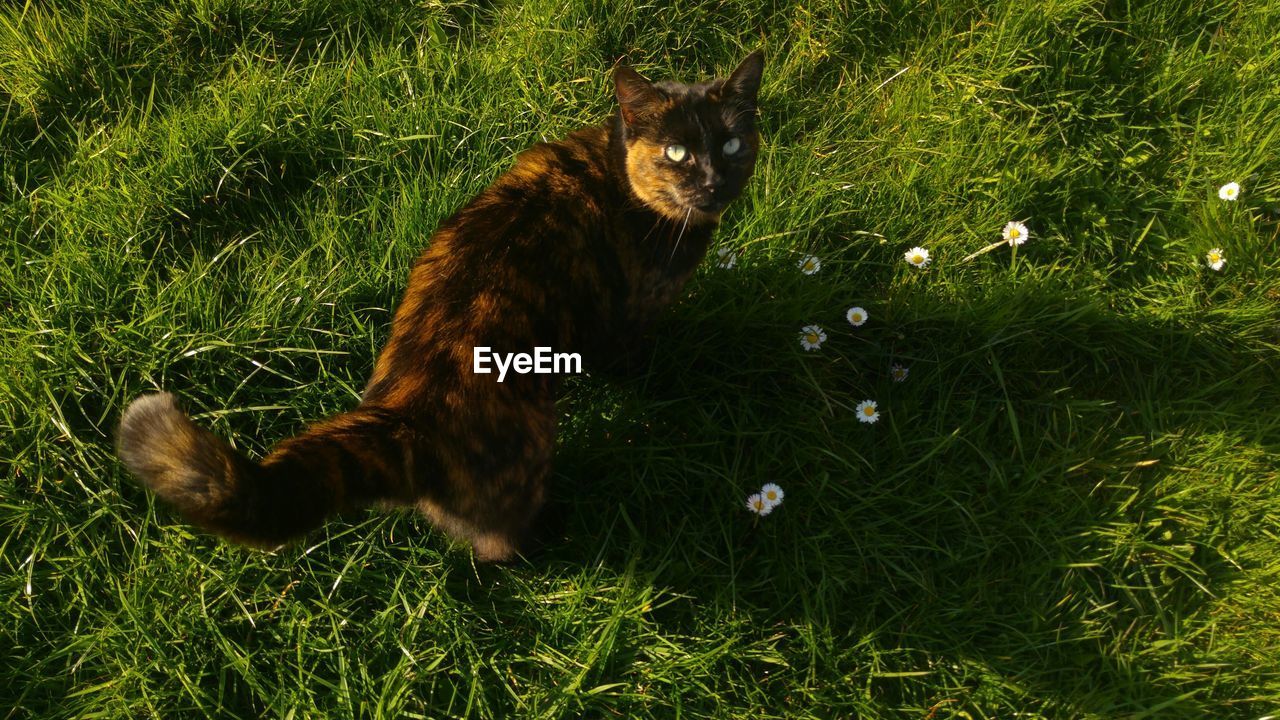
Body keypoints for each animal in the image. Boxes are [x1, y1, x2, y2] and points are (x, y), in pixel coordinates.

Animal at [115, 50, 762, 561]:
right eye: (676, 151)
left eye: (732, 142)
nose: (714, 182)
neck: (618, 172)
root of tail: (405, 415)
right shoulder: (632, 314)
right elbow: (636, 363)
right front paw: (665, 387)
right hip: (526, 459)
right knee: (500, 546)